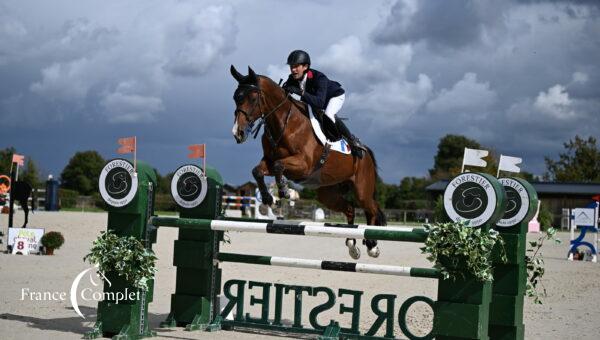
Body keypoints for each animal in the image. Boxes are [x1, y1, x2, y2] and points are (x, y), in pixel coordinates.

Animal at [227, 65, 386, 258]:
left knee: (372, 209)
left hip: (362, 189)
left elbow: (280, 166)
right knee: (350, 209)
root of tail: (366, 152)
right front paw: (268, 198)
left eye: (252, 98)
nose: (238, 133)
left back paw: (372, 245)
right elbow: (257, 170)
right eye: (235, 97)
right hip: (327, 194)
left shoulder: (303, 165)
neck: (285, 123)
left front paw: (284, 192)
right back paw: (352, 246)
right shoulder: (269, 161)